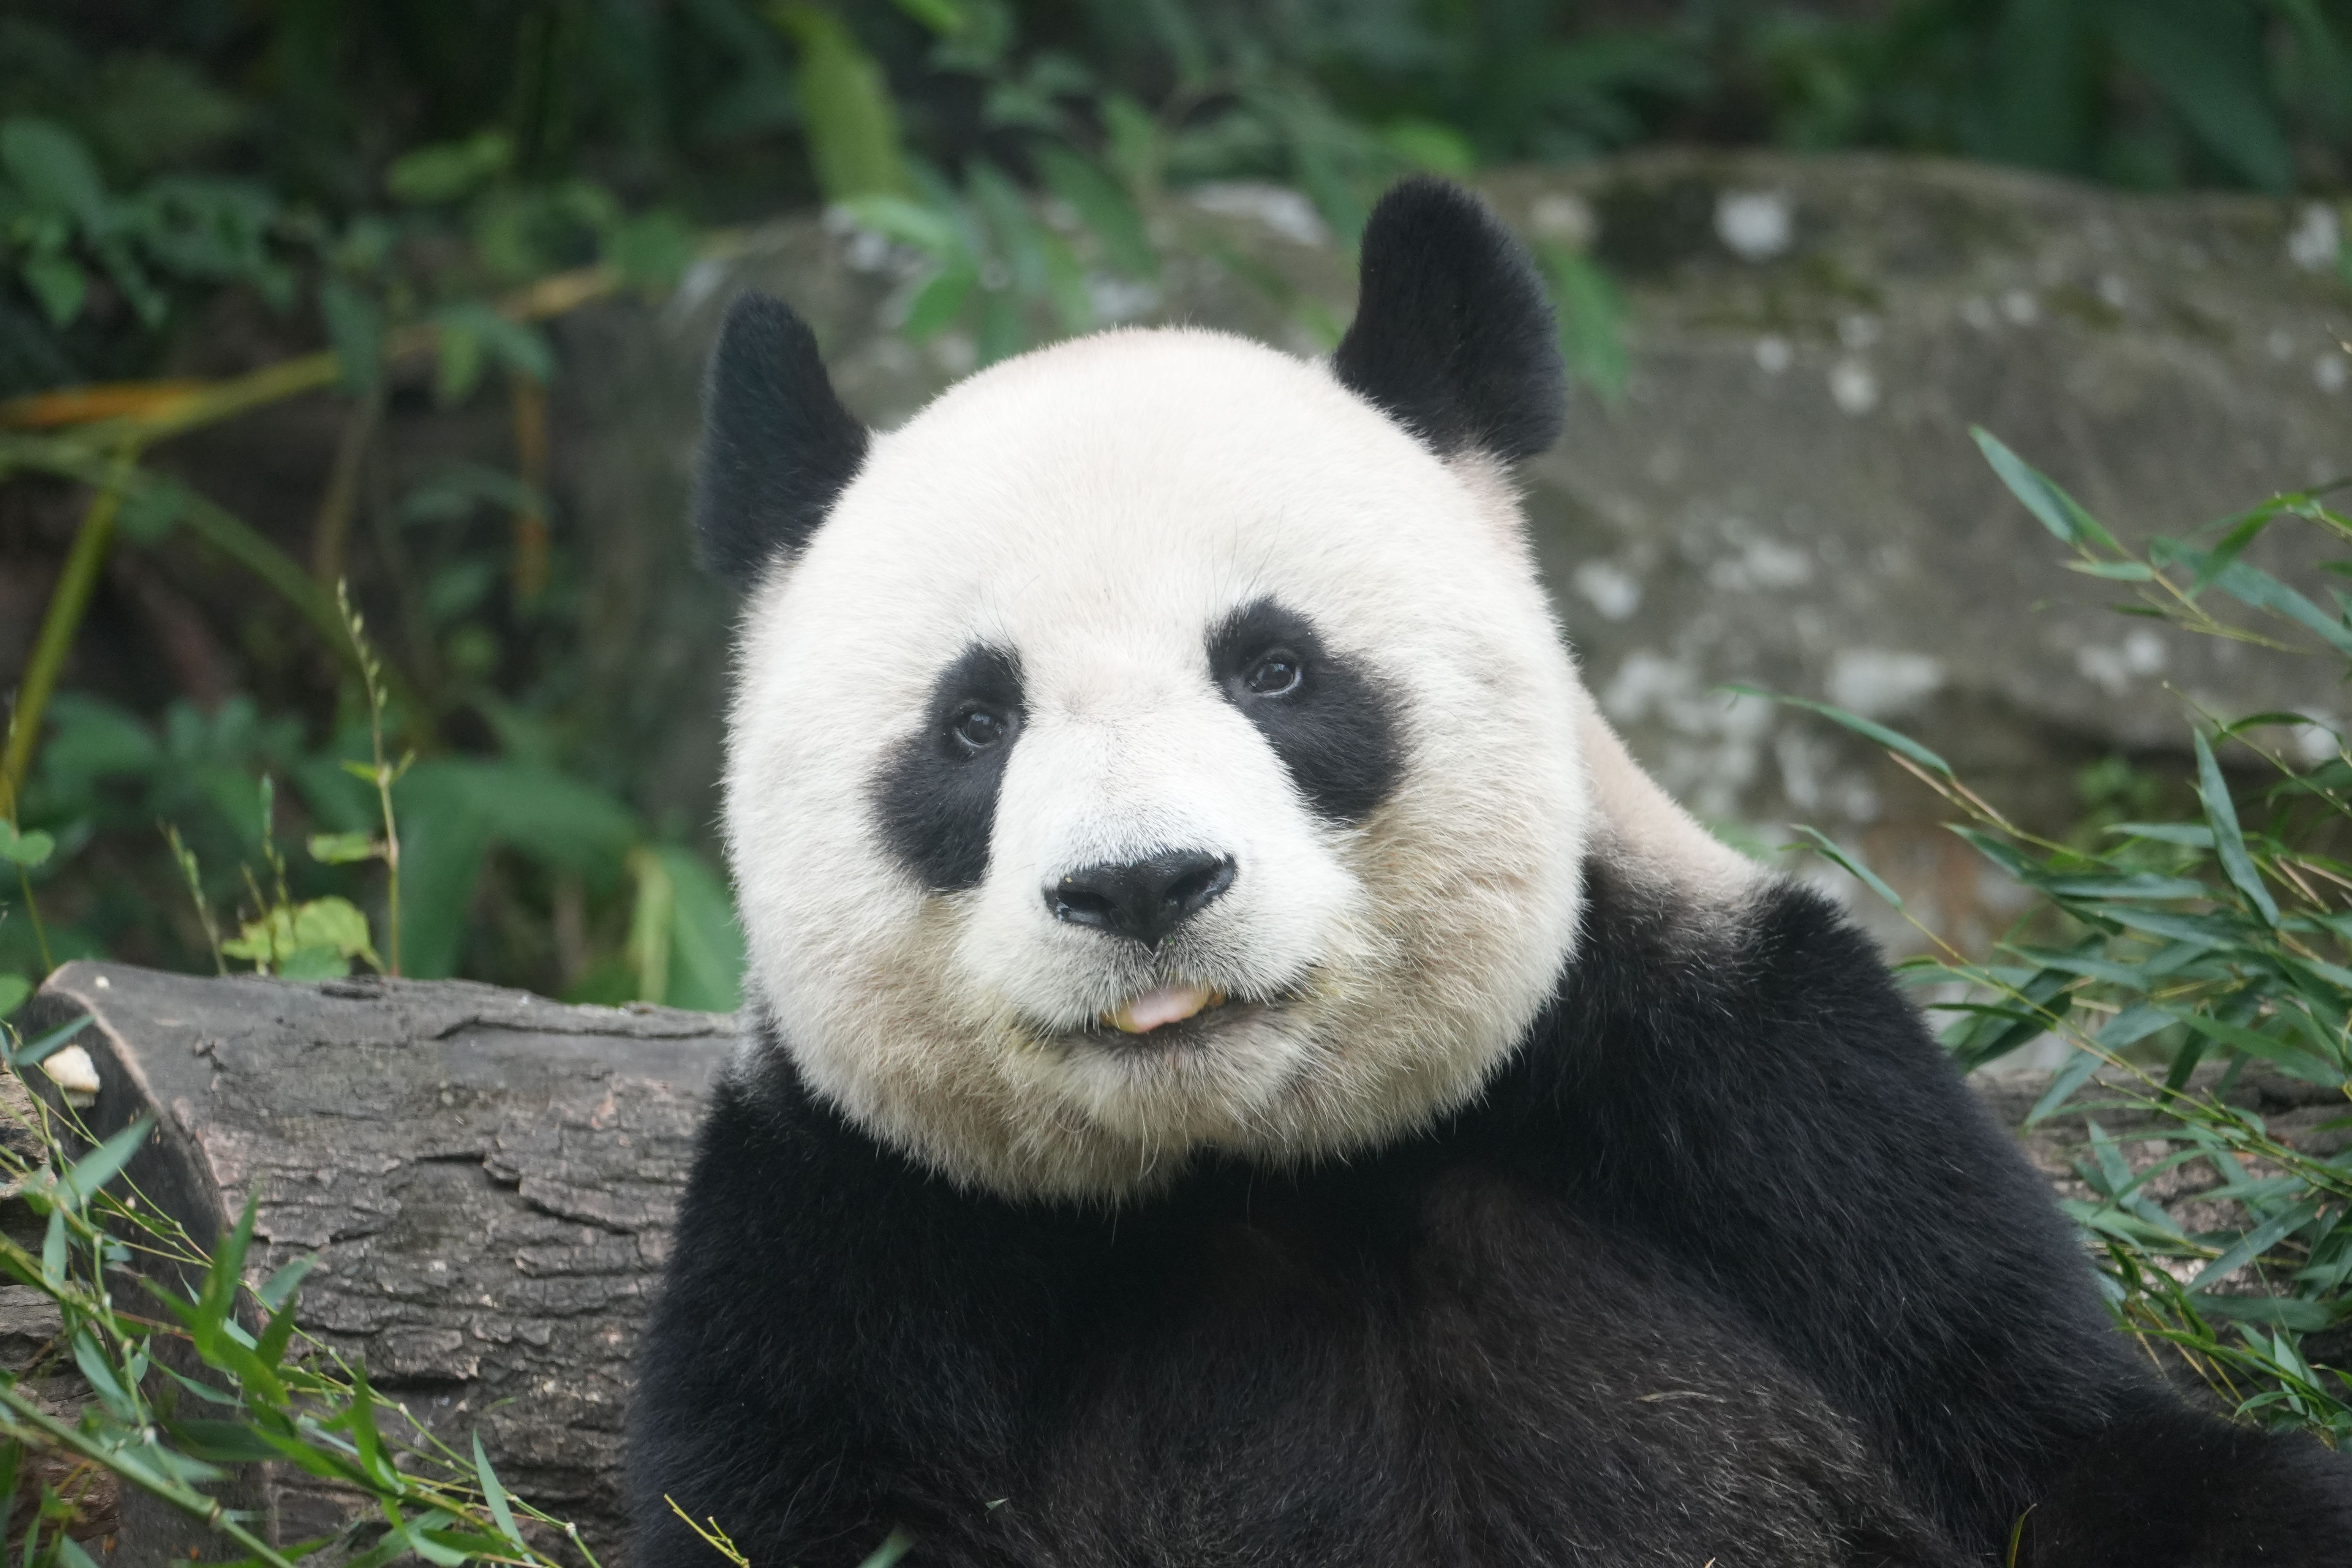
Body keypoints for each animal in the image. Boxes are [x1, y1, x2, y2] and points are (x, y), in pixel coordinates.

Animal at [629, 177, 2352, 1567]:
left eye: (1275, 669)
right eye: (974, 724)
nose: (1142, 887)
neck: (1259, 1170)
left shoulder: (1765, 1123)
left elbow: (2074, 1444)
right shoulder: (856, 1229)